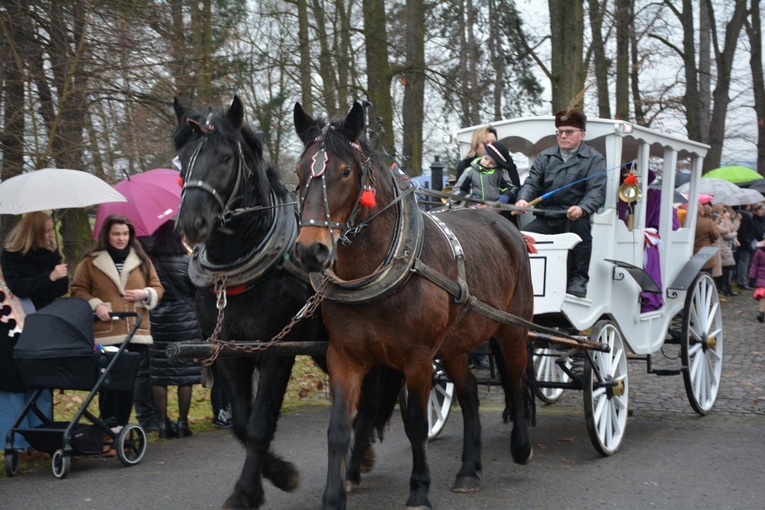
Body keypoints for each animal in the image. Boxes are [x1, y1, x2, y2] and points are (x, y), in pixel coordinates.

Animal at [172, 96, 400, 510]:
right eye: (181, 159)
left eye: (225, 157)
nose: (191, 224)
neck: (239, 270)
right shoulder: (227, 351)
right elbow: (242, 423)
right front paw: (274, 474)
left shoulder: (278, 350)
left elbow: (259, 425)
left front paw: (250, 490)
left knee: (371, 402)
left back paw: (354, 465)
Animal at [294, 101, 536, 508]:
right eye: (299, 171)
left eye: (345, 171)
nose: (311, 250)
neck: (379, 271)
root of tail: (501, 221)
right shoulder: (344, 356)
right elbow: (340, 428)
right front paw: (333, 494)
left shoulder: (419, 358)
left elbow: (417, 425)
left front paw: (419, 490)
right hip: (455, 343)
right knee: (470, 392)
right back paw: (468, 469)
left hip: (511, 328)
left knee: (516, 381)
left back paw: (521, 446)